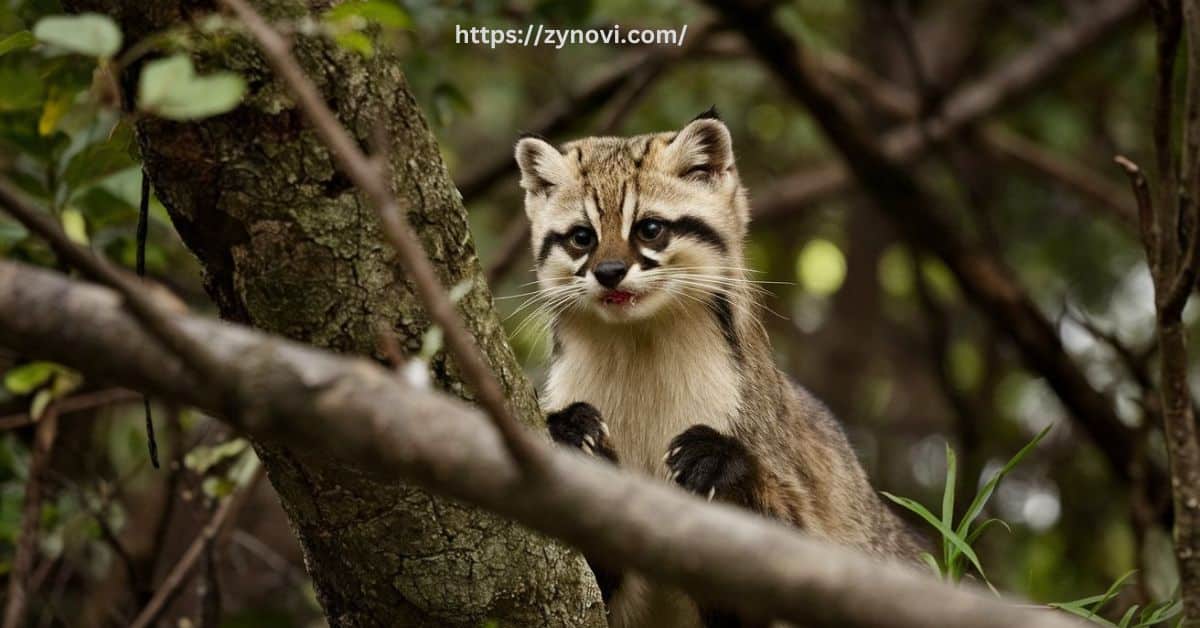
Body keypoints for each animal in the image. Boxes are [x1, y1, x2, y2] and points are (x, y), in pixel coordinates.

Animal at [513, 109, 916, 628]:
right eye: (582, 237)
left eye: (650, 228)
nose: (609, 273)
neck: (640, 348)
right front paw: (571, 431)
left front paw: (721, 460)